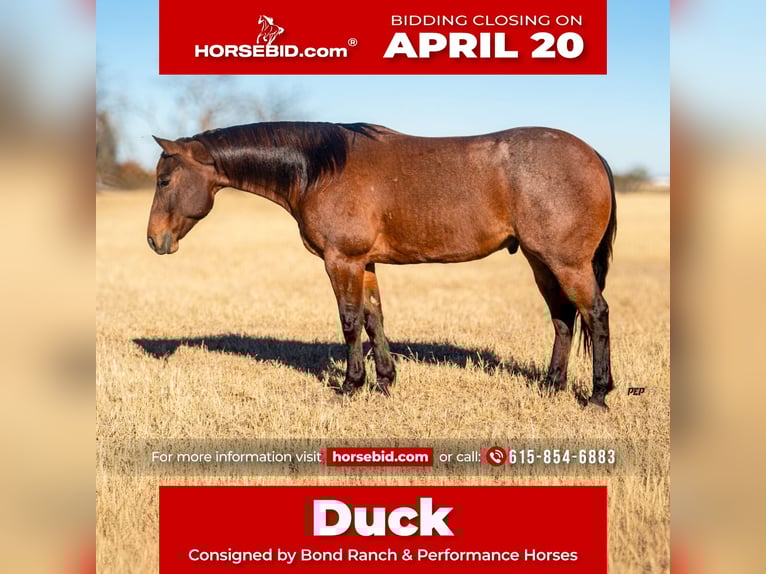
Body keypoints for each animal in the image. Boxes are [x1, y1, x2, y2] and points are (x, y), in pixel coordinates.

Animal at [147, 122, 617, 408]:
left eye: (164, 180)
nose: (154, 240)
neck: (319, 169)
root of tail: (592, 152)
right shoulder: (366, 264)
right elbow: (375, 318)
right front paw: (386, 381)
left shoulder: (343, 261)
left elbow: (351, 321)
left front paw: (350, 385)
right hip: (542, 261)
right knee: (563, 318)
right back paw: (552, 386)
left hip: (566, 262)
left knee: (595, 314)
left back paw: (597, 394)